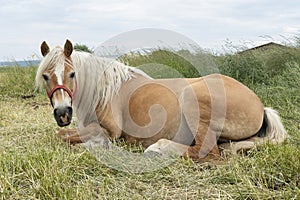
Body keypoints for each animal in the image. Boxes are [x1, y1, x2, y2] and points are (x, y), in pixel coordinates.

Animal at [34, 39, 288, 161]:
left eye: (72, 74)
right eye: (45, 76)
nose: (63, 114)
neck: (104, 90)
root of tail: (260, 106)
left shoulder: (110, 131)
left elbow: (66, 138)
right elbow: (61, 134)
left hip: (194, 101)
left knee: (206, 152)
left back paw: (159, 148)